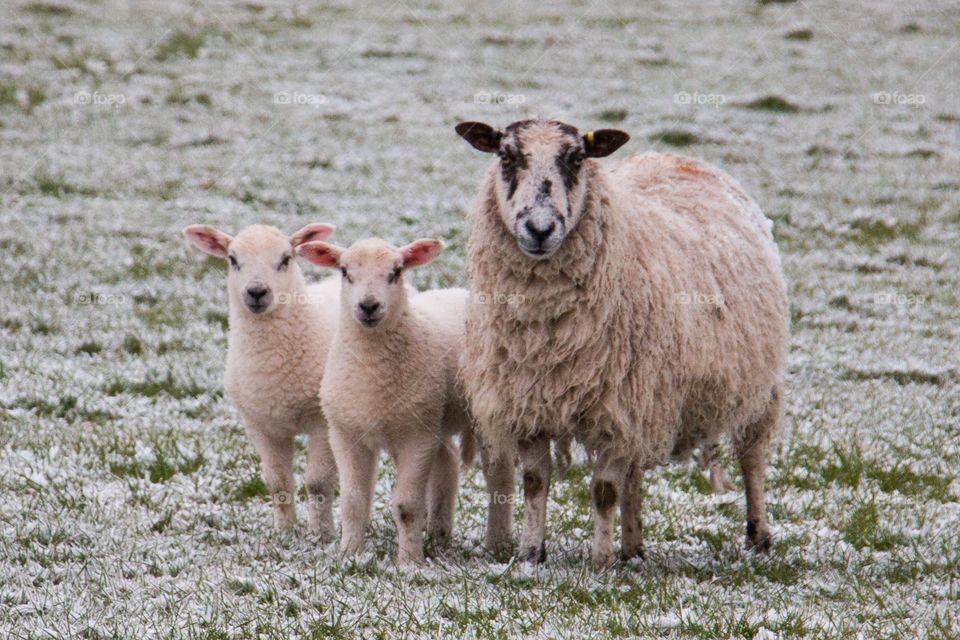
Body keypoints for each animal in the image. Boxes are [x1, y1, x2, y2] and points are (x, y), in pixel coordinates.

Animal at [184, 222, 342, 536]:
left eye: (285, 259)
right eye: (233, 260)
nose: (256, 291)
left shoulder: (323, 422)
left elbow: (318, 482)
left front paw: (322, 534)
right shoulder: (260, 424)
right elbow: (278, 482)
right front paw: (284, 532)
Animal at [296, 238, 484, 564]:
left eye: (396, 272)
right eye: (345, 271)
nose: (368, 306)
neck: (371, 371)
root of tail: (458, 291)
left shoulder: (417, 438)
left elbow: (407, 506)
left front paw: (409, 562)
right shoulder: (345, 434)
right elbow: (353, 501)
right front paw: (349, 553)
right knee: (447, 463)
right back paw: (439, 533)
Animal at [456, 117, 788, 568]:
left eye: (577, 158)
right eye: (505, 157)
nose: (540, 229)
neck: (549, 333)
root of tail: (678, 157)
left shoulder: (616, 406)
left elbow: (603, 490)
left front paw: (600, 561)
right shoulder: (530, 401)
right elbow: (535, 482)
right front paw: (530, 554)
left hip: (754, 381)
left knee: (752, 455)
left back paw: (758, 536)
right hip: (648, 396)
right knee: (634, 471)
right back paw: (633, 546)